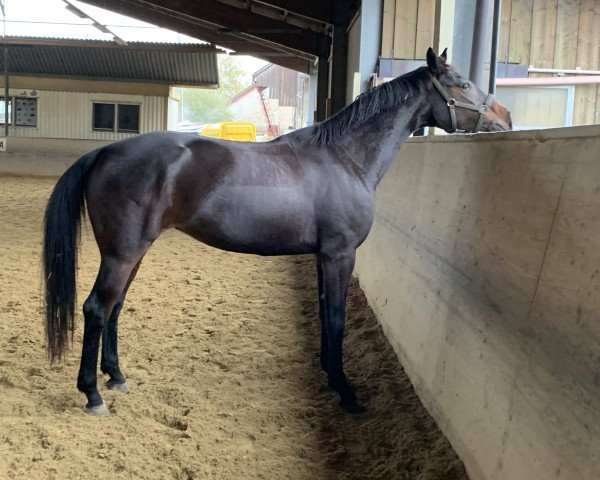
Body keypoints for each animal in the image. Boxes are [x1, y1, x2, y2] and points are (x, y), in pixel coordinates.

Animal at [42, 49, 510, 416]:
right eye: (463, 83)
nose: (505, 117)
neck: (344, 159)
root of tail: (105, 151)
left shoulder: (324, 256)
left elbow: (324, 313)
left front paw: (328, 374)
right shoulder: (340, 254)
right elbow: (336, 318)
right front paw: (346, 393)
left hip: (131, 253)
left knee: (115, 308)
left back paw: (117, 377)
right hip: (122, 254)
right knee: (96, 309)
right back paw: (92, 395)